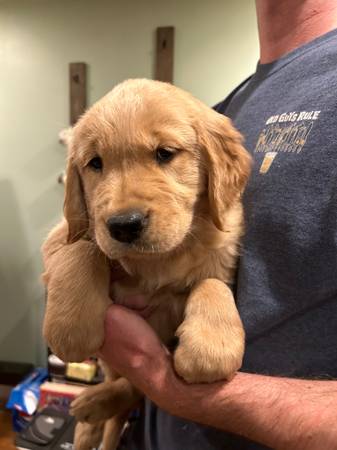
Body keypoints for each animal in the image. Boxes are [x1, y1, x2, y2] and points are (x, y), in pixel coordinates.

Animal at [41, 79, 249, 448]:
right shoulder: (61, 235)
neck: (156, 261)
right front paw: (71, 328)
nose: (124, 225)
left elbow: (211, 282)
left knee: (133, 389)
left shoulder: (223, 253)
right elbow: (83, 249)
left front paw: (211, 347)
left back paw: (96, 402)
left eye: (165, 153)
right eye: (95, 163)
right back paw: (89, 415)